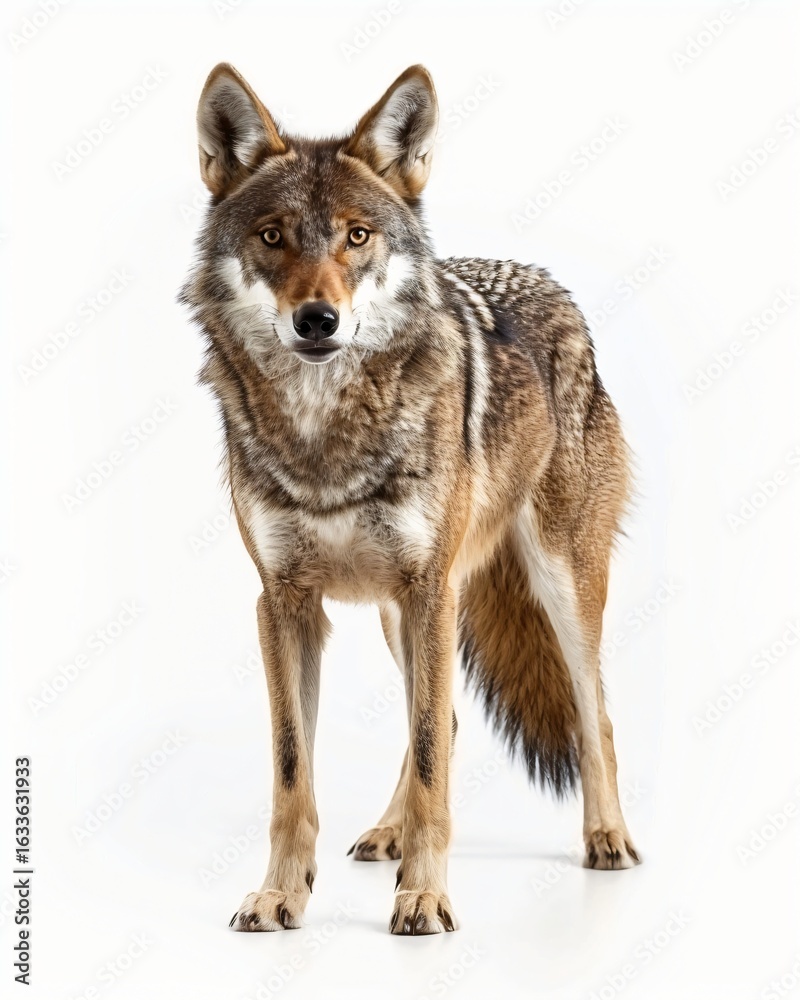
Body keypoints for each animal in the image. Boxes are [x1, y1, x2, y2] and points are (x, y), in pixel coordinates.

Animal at [180, 62, 640, 936]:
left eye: (358, 236)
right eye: (272, 237)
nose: (317, 319)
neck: (326, 438)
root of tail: (552, 284)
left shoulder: (430, 591)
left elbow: (432, 762)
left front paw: (426, 897)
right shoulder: (284, 602)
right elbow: (294, 773)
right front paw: (281, 894)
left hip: (553, 586)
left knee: (592, 711)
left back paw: (607, 839)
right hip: (407, 614)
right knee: (451, 717)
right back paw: (387, 834)